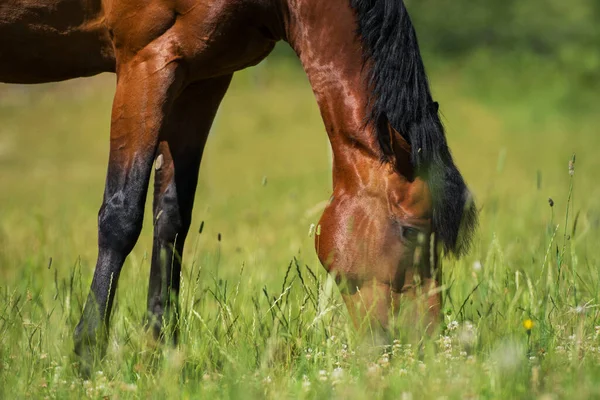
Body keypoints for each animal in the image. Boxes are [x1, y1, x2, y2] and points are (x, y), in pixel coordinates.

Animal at [1, 0, 478, 370]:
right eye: (411, 232)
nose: (425, 348)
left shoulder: (201, 78)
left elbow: (171, 219)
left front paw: (162, 353)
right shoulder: (146, 61)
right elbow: (121, 217)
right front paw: (87, 355)